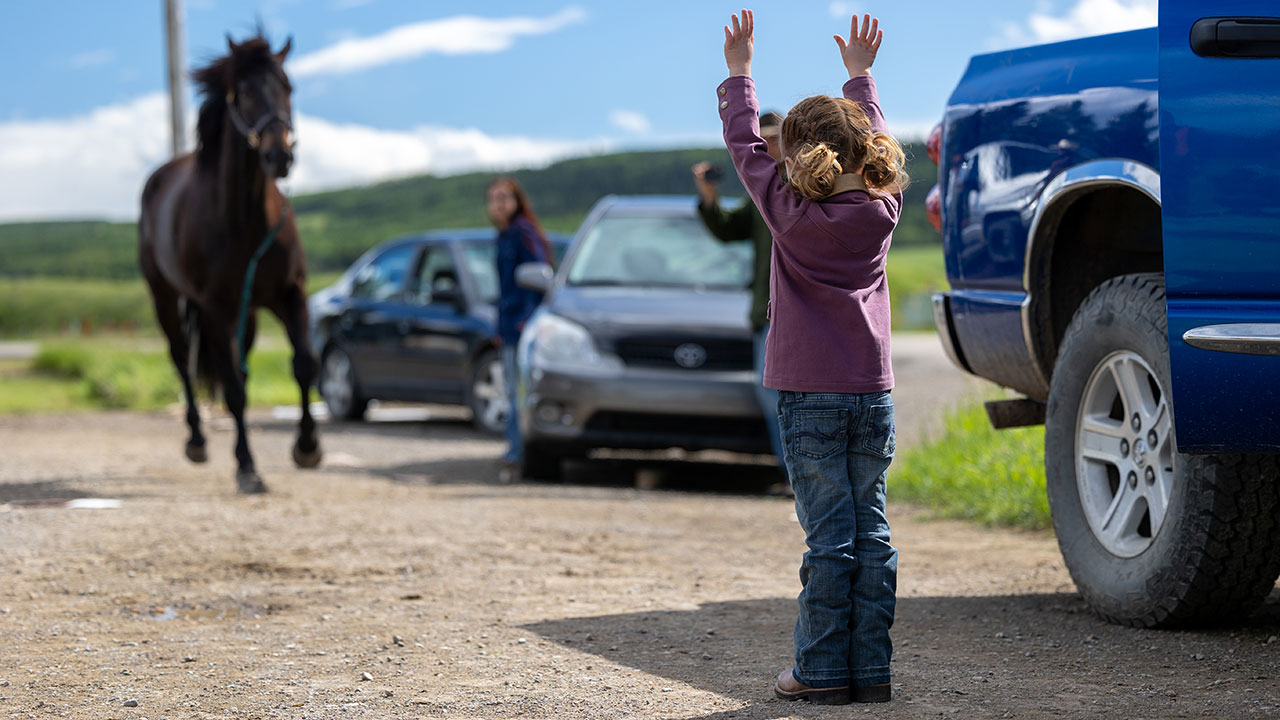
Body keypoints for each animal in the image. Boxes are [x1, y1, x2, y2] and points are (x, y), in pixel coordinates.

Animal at [137, 33, 320, 491]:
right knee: (183, 361)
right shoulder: (216, 307)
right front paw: (248, 467)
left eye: (288, 87)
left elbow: (304, 365)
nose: (278, 156)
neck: (247, 222)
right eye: (246, 93)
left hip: (248, 314)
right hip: (167, 299)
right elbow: (234, 388)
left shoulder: (290, 293)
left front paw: (307, 447)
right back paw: (197, 441)